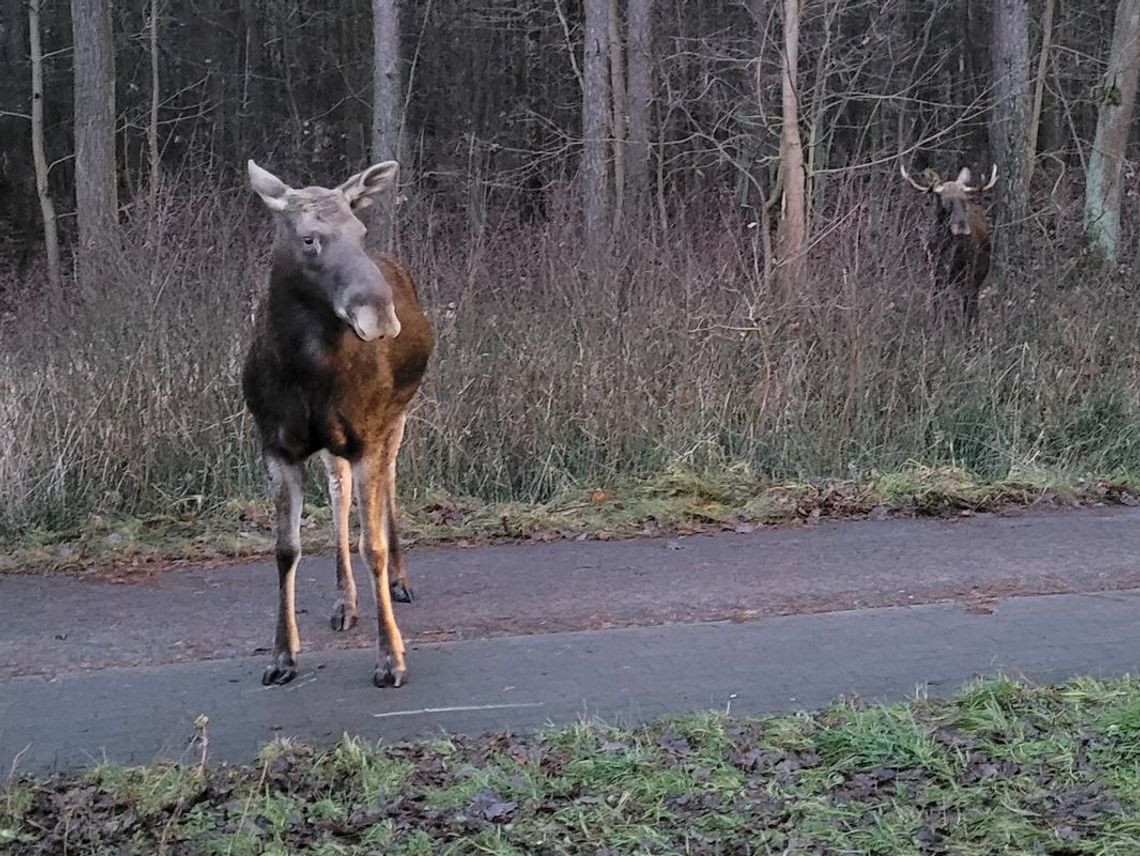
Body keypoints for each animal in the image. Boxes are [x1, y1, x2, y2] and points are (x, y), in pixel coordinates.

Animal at [242, 156, 433, 688]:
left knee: (389, 485)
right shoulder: (276, 445)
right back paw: (344, 601)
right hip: (335, 444)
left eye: (360, 230)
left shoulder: (367, 434)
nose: (381, 314)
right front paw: (282, 655)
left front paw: (391, 658)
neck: (305, 374)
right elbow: (286, 548)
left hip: (396, 417)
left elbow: (374, 546)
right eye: (309, 238)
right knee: (340, 494)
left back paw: (401, 581)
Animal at [898, 161, 998, 328]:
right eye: (945, 201)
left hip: (980, 272)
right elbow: (937, 303)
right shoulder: (936, 272)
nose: (961, 227)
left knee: (972, 303)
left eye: (964, 200)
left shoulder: (969, 273)